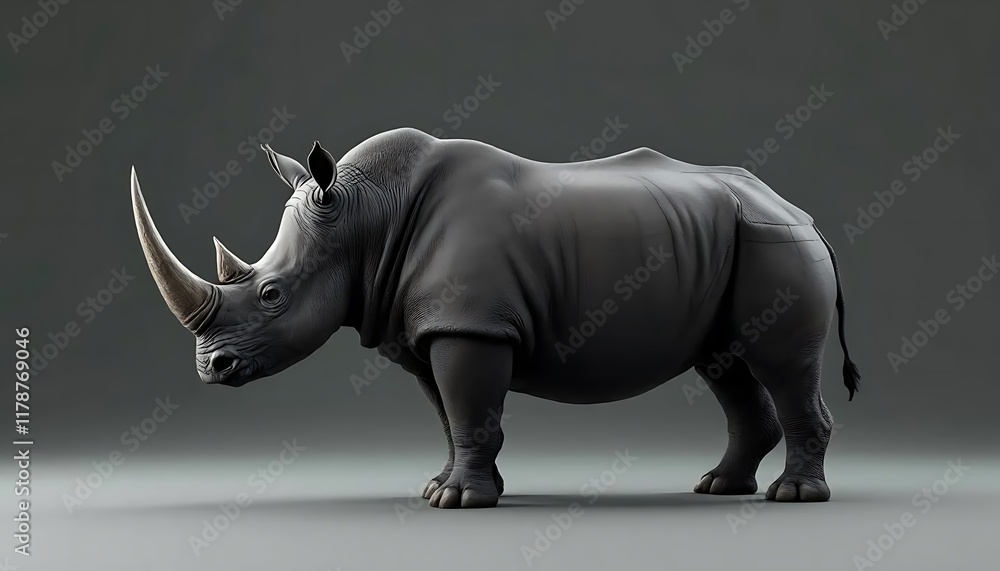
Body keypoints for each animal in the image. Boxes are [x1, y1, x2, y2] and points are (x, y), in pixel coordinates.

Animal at [130, 127, 860, 509]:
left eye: (272, 295)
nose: (212, 367)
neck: (366, 215)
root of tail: (802, 213)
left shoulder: (471, 324)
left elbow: (468, 406)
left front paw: (457, 501)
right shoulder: (427, 330)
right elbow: (453, 415)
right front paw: (444, 487)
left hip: (774, 242)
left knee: (780, 365)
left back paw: (793, 495)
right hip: (732, 243)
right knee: (726, 364)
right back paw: (718, 487)